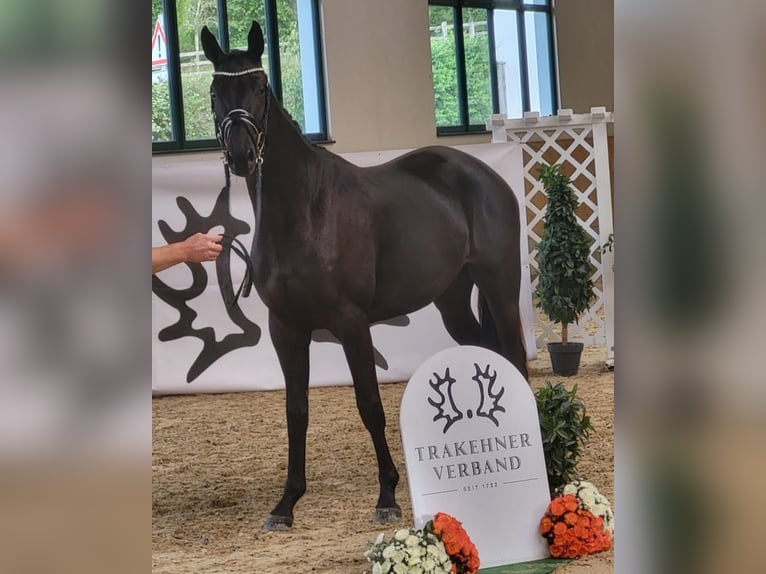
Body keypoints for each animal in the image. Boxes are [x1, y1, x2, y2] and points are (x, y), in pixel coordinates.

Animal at [201, 21, 532, 536]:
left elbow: (369, 405)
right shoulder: (285, 328)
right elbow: (296, 411)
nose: (240, 156)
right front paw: (286, 503)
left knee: (514, 354)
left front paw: (388, 496)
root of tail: (479, 173)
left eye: (259, 87)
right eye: (217, 91)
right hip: (453, 298)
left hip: (499, 284)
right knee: (485, 351)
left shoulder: (352, 323)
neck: (305, 213)